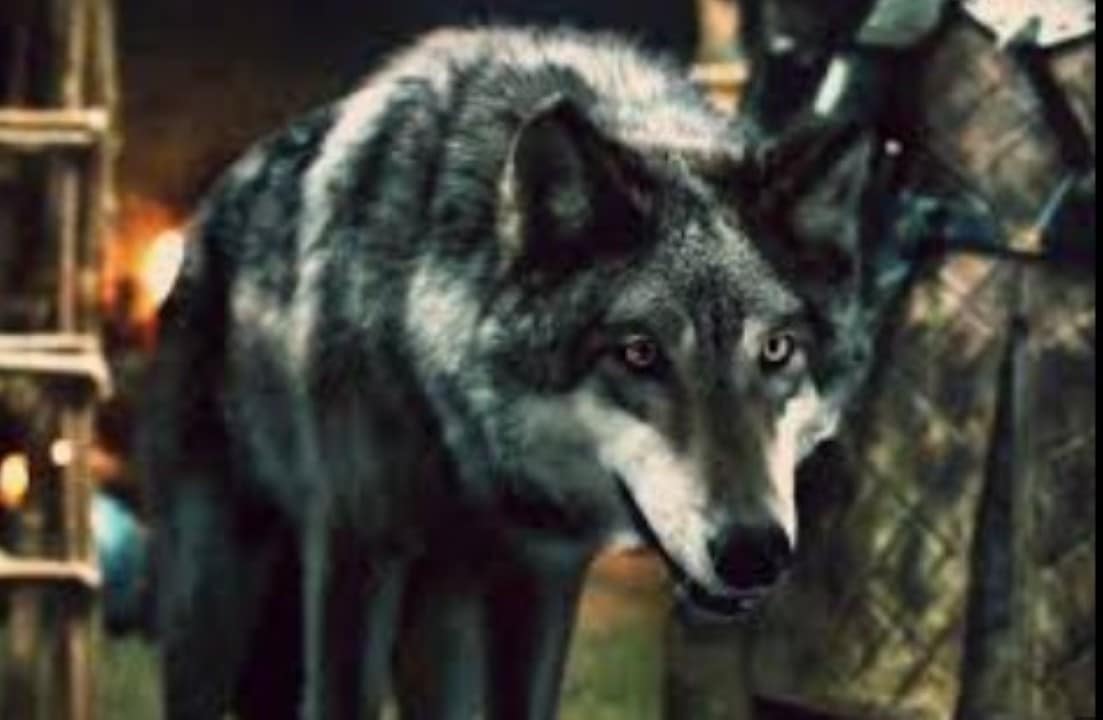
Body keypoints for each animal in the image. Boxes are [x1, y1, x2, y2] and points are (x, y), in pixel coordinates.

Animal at [144, 26, 877, 720]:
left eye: (776, 350)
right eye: (639, 352)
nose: (754, 551)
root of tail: (210, 211)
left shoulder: (544, 577)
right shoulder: (357, 554)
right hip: (211, 606)